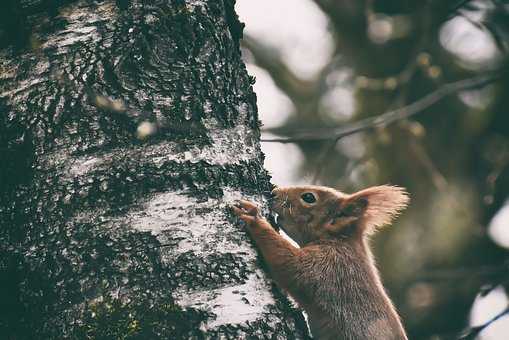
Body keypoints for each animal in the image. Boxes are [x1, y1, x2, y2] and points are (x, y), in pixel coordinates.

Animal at [233, 186, 408, 340]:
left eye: (309, 197)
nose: (273, 193)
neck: (339, 240)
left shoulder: (331, 266)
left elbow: (289, 265)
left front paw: (254, 217)